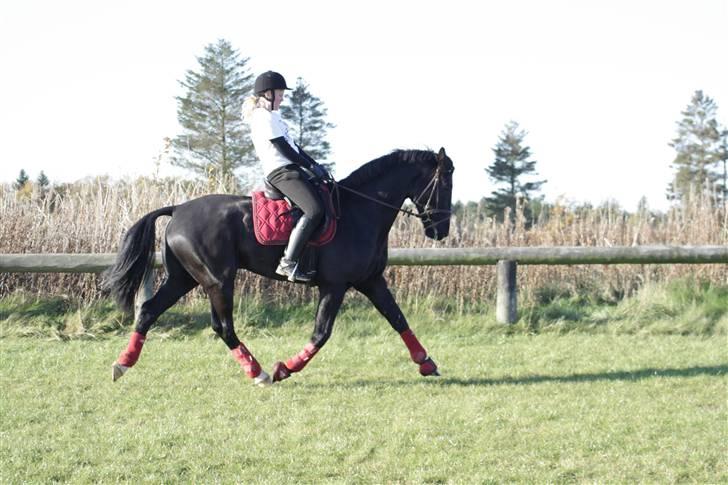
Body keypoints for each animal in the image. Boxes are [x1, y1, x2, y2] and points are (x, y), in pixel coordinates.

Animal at [104, 146, 456, 384]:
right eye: (446, 183)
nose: (441, 231)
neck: (360, 212)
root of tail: (178, 209)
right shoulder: (335, 286)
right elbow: (321, 333)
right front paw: (285, 368)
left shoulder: (371, 281)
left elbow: (398, 319)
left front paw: (426, 362)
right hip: (218, 280)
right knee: (223, 326)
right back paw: (259, 373)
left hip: (184, 279)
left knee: (149, 311)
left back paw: (123, 363)